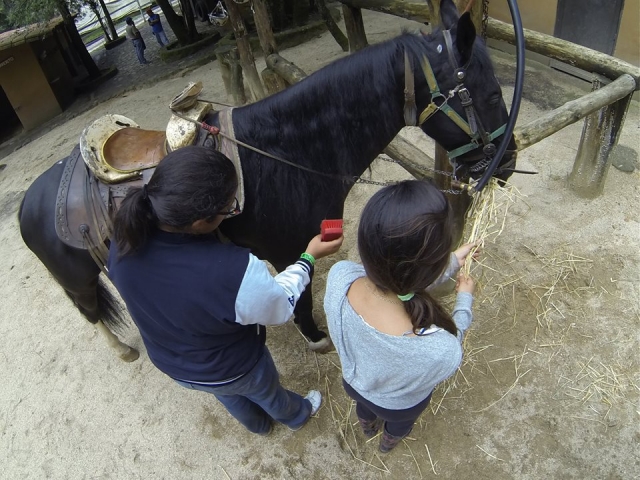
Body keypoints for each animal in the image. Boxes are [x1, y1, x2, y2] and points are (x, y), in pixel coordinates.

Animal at [18, 0, 517, 361]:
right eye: (492, 94)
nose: (507, 162)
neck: (285, 156)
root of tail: (31, 202)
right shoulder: (287, 249)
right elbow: (302, 298)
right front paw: (316, 338)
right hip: (78, 279)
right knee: (90, 312)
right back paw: (123, 349)